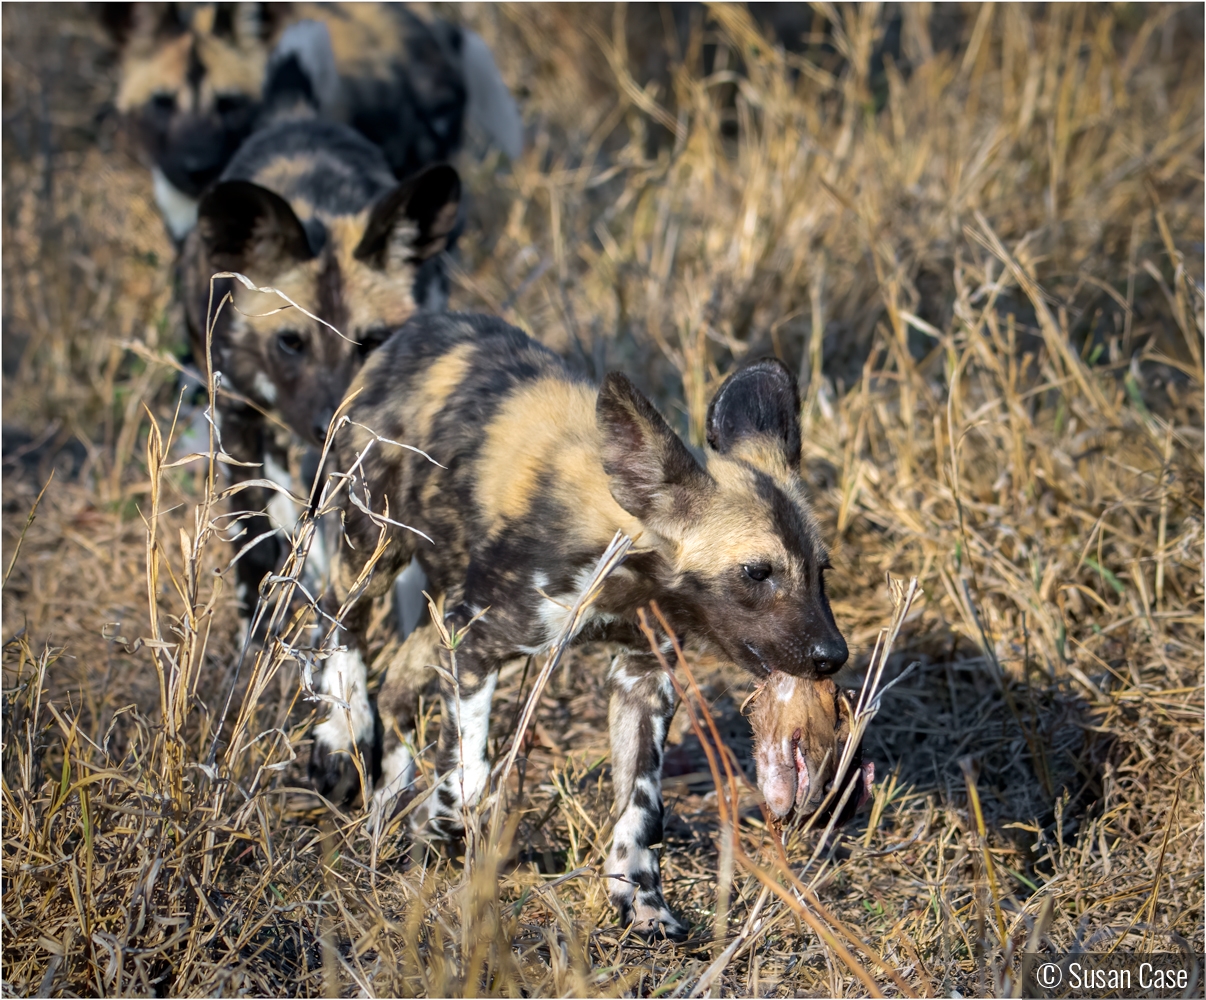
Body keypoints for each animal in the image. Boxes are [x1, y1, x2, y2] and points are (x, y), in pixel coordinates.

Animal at [315, 311, 853, 936]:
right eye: (757, 572)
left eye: (822, 570)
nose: (833, 655)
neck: (624, 559)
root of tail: (412, 327)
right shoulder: (476, 644)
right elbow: (469, 778)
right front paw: (438, 825)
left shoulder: (643, 679)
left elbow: (641, 809)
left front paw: (641, 900)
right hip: (372, 551)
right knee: (335, 623)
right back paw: (340, 736)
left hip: (441, 608)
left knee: (399, 688)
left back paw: (381, 813)